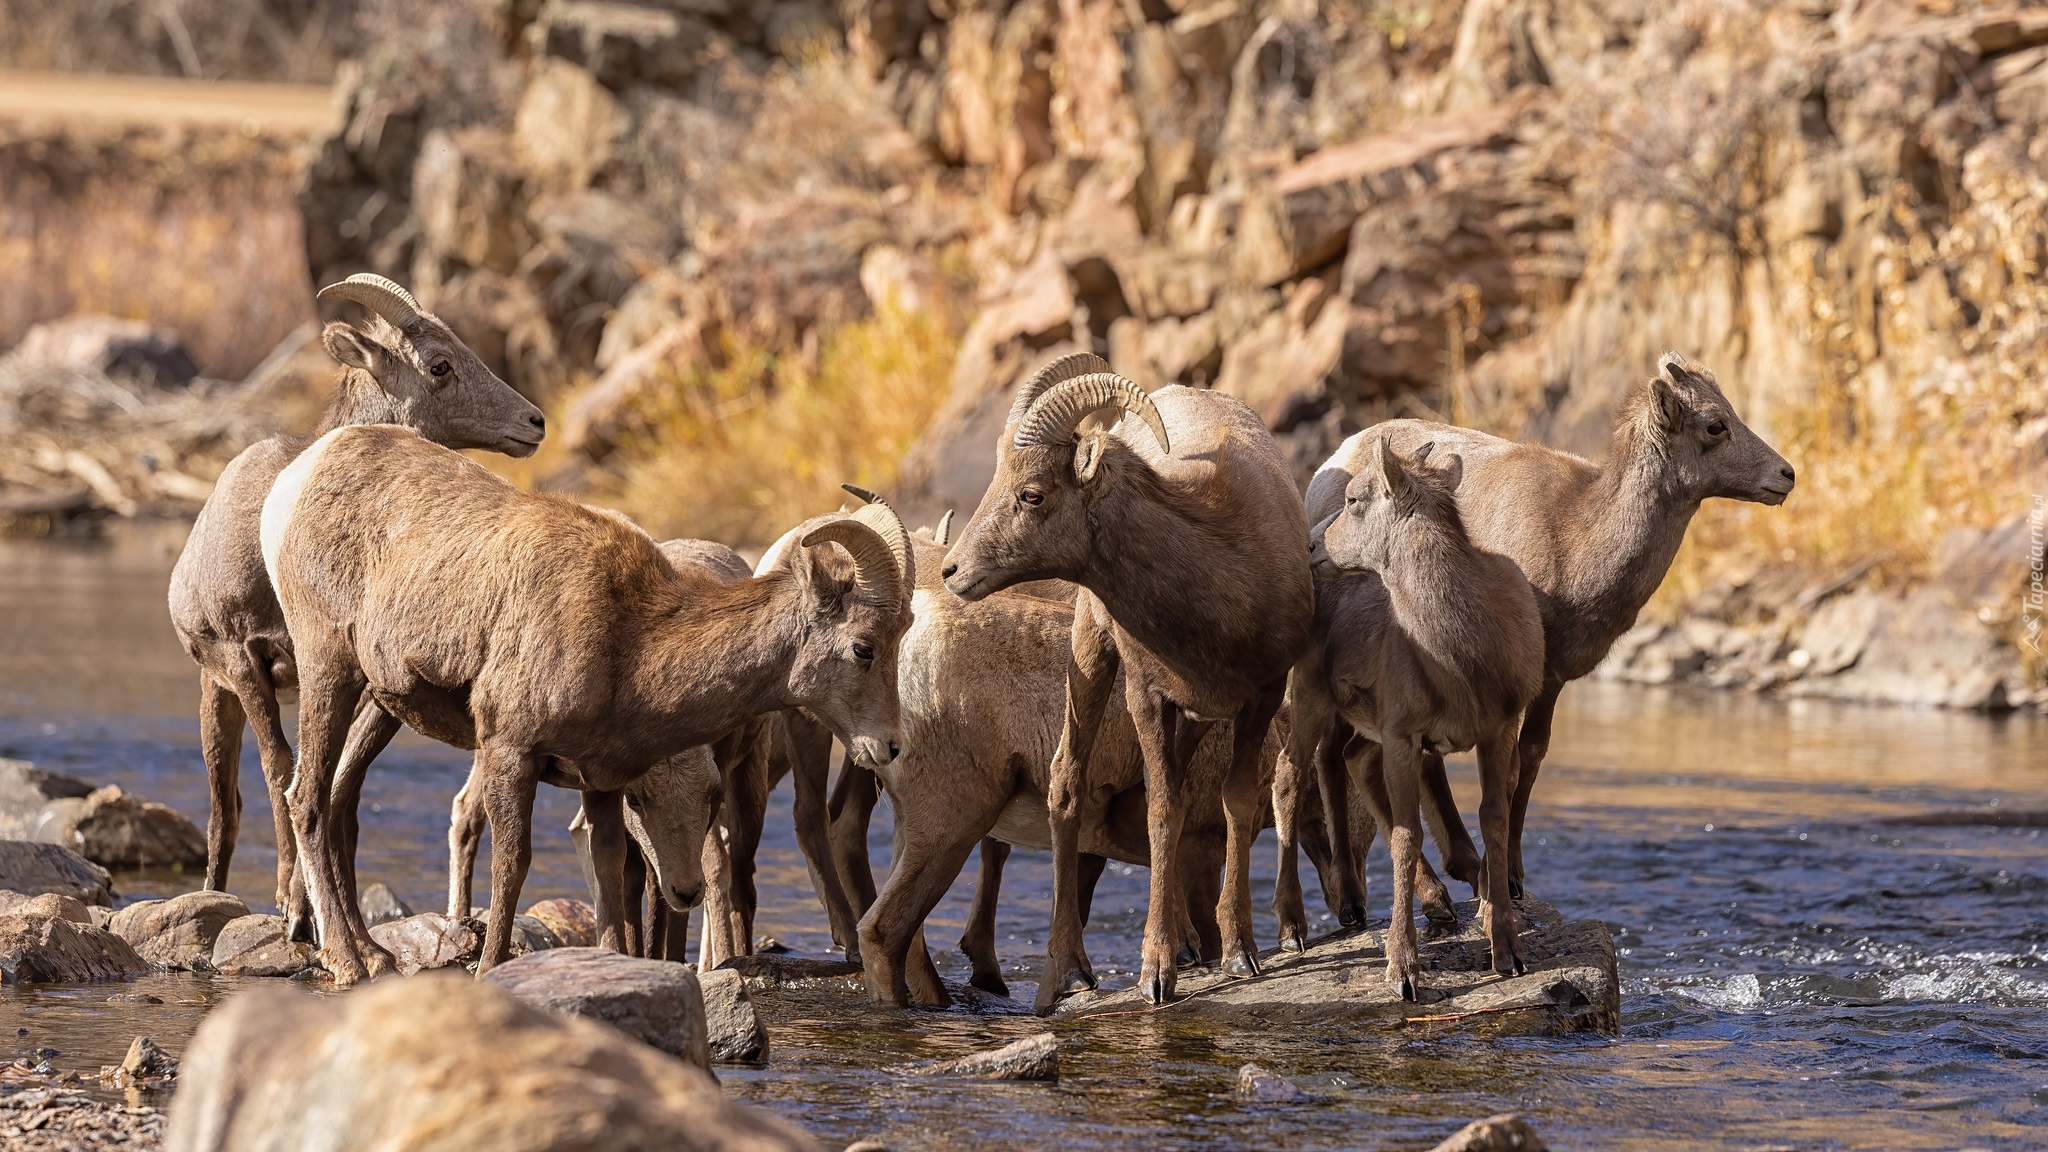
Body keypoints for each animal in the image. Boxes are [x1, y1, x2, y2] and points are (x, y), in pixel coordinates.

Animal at [164, 276, 544, 934]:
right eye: (439, 365)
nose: (535, 421)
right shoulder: (245, 660)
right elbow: (281, 769)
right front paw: (291, 908)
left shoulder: (369, 684)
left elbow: (343, 790)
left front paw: (312, 915)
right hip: (217, 691)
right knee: (223, 810)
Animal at [258, 426, 913, 983]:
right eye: (863, 647)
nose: (890, 747)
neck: (629, 641)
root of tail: (297, 477)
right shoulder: (510, 752)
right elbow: (513, 865)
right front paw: (490, 968)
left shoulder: (603, 783)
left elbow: (609, 874)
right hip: (328, 671)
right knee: (306, 799)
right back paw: (347, 963)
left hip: (378, 703)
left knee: (340, 802)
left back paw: (374, 955)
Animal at [942, 352, 1310, 1004]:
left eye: (1031, 494)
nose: (952, 571)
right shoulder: (1147, 697)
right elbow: (1162, 817)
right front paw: (1156, 974)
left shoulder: (1259, 697)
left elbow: (1237, 806)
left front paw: (1239, 952)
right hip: (1092, 655)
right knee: (1066, 783)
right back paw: (1069, 972)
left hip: (1193, 719)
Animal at [1277, 438, 1540, 988]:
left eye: (1355, 499)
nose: (1310, 547)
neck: (1463, 663)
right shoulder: (1404, 732)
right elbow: (1403, 834)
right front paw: (1402, 969)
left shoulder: (1498, 727)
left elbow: (1494, 819)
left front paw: (1506, 949)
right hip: (1310, 692)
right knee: (1289, 773)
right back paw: (1292, 928)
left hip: (1365, 721)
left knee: (1349, 760)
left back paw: (1427, 900)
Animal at [1310, 350, 1794, 897]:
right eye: (1715, 424)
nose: (1786, 474)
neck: (1576, 544)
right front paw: (1498, 883)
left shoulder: (1552, 679)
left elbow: (1531, 761)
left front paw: (1514, 879)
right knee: (1331, 756)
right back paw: (1359, 897)